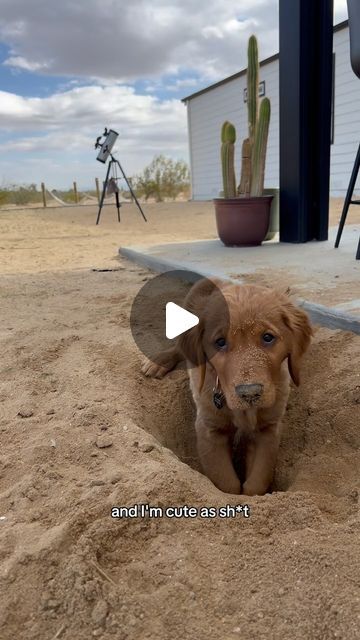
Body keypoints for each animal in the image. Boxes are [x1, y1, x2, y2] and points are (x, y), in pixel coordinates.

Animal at [141, 280, 312, 496]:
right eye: (220, 342)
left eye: (268, 337)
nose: (250, 392)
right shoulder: (210, 429)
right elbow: (226, 482)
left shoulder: (268, 430)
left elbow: (257, 482)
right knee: (179, 347)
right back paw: (157, 362)